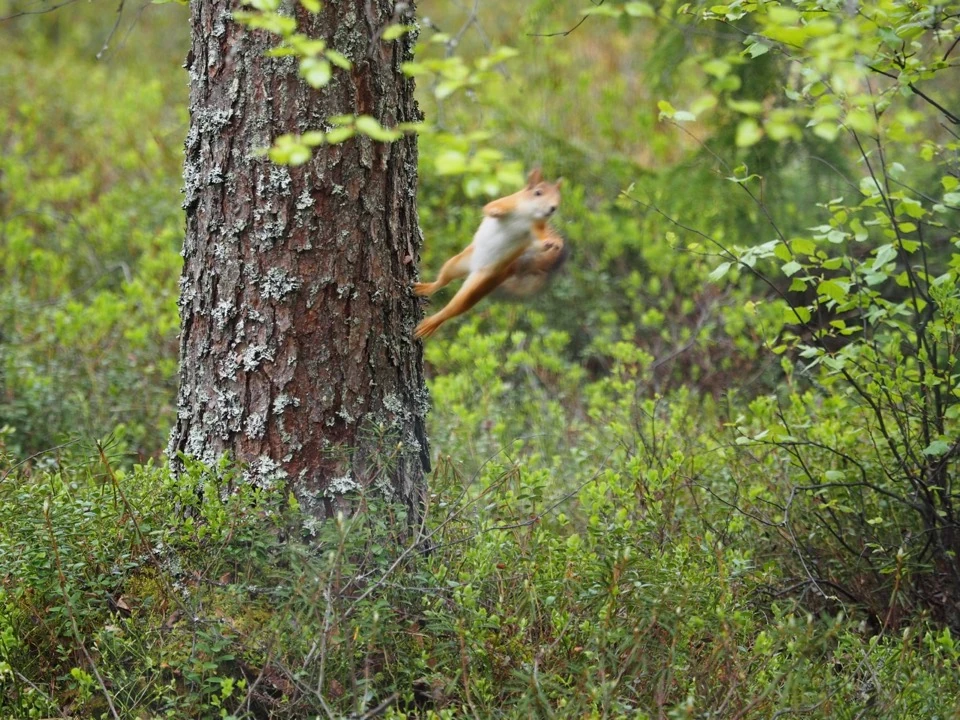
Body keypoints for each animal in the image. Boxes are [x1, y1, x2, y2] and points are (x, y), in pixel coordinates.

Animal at [414, 168, 564, 339]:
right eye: (538, 192)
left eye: (558, 200)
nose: (552, 208)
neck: (527, 215)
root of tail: (473, 268)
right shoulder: (509, 201)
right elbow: (490, 206)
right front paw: (495, 211)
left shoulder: (536, 230)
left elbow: (539, 243)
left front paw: (552, 243)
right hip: (458, 262)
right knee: (443, 280)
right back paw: (426, 288)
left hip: (479, 285)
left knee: (453, 308)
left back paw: (432, 323)